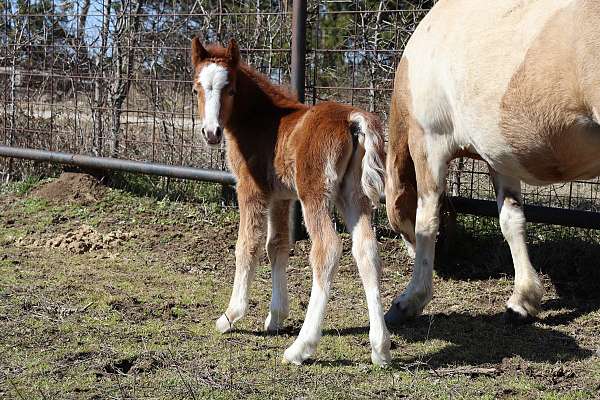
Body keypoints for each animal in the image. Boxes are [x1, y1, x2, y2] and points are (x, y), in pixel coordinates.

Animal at [190, 38, 392, 366]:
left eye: (230, 89)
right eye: (197, 88)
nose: (211, 133)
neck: (260, 119)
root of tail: (353, 119)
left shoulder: (252, 190)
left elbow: (247, 246)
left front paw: (230, 316)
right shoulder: (281, 197)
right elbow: (277, 246)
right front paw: (275, 318)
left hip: (315, 195)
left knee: (327, 249)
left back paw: (300, 348)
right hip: (354, 195)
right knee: (367, 251)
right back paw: (380, 349)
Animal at [384, 0, 600, 324]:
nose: (443, 265)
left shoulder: (428, 144)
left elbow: (427, 218)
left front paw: (409, 300)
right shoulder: (500, 161)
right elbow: (512, 221)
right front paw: (523, 300)